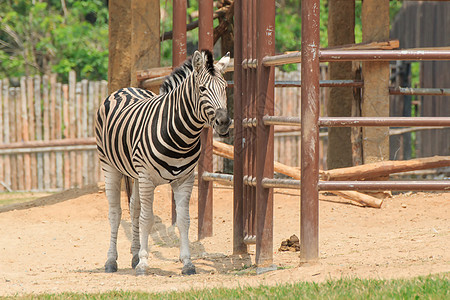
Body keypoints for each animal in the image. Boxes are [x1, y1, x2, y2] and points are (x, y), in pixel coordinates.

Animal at [94, 49, 229, 276]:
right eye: (202, 89)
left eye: (225, 87)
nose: (225, 122)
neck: (181, 137)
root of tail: (125, 88)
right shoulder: (147, 179)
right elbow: (147, 219)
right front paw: (144, 263)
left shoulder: (185, 179)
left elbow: (183, 220)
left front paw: (187, 263)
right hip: (110, 166)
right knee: (115, 212)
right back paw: (111, 261)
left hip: (135, 174)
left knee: (134, 208)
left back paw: (134, 255)